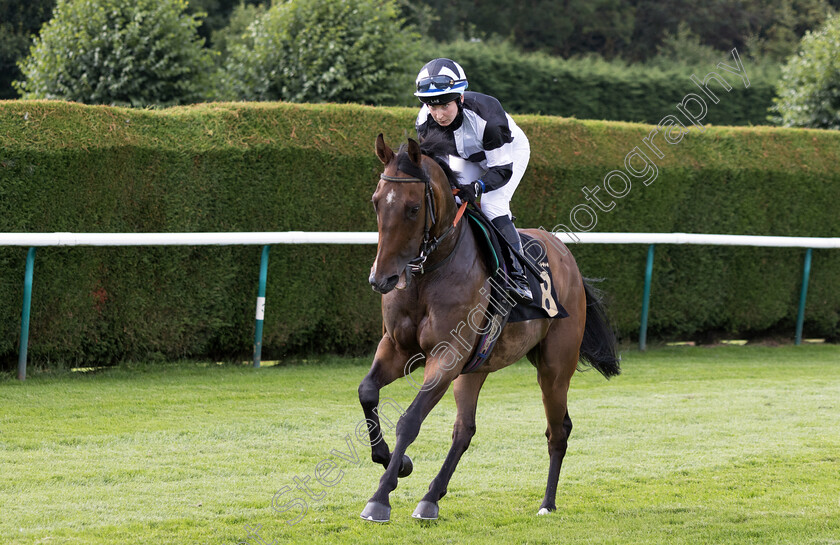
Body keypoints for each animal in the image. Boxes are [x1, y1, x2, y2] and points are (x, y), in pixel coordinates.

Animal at [358, 134, 620, 520]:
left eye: (412, 208)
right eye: (377, 202)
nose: (382, 279)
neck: (431, 272)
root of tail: (566, 256)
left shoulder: (447, 355)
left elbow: (410, 419)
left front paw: (379, 497)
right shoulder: (398, 347)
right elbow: (367, 392)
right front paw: (395, 461)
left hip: (555, 368)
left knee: (558, 431)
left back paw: (547, 503)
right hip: (475, 368)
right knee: (464, 430)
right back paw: (431, 498)